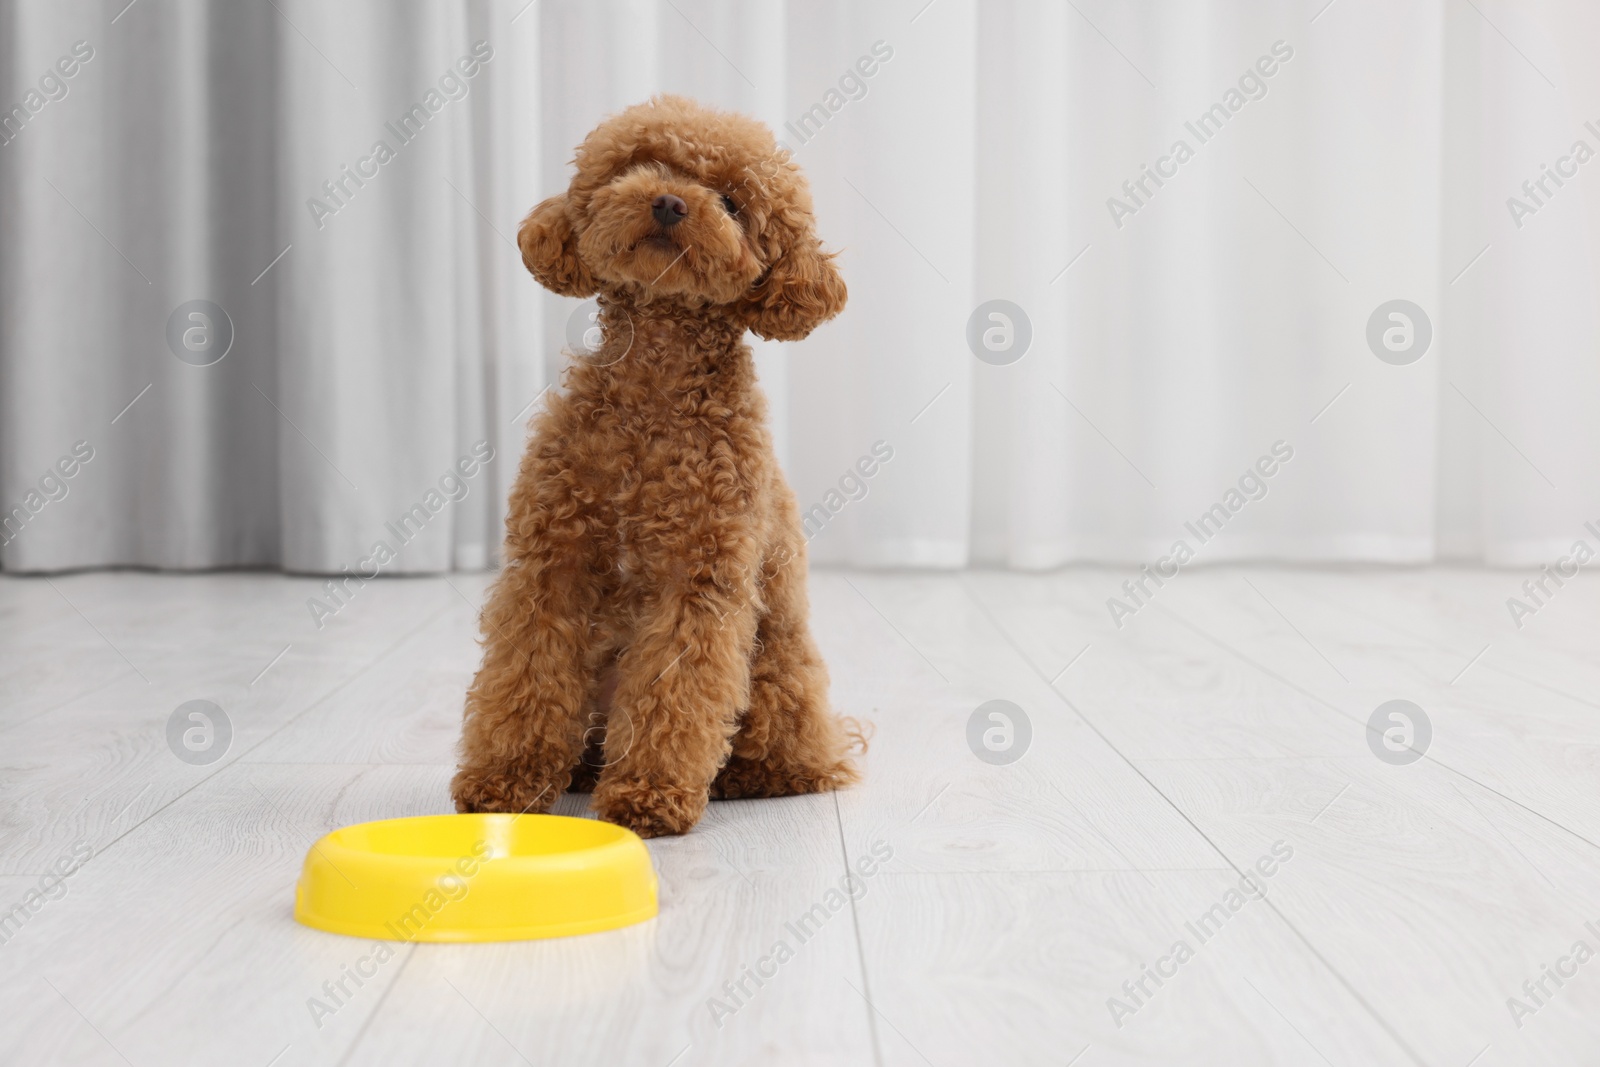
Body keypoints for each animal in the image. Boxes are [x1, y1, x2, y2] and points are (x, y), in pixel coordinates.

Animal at [454, 95, 864, 838]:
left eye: (732, 202)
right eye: (640, 165)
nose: (671, 202)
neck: (654, 386)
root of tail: (834, 740)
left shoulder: (697, 579)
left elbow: (675, 692)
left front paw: (647, 795)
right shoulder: (551, 562)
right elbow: (524, 673)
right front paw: (505, 781)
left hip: (776, 680)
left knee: (785, 758)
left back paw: (742, 777)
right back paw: (582, 769)